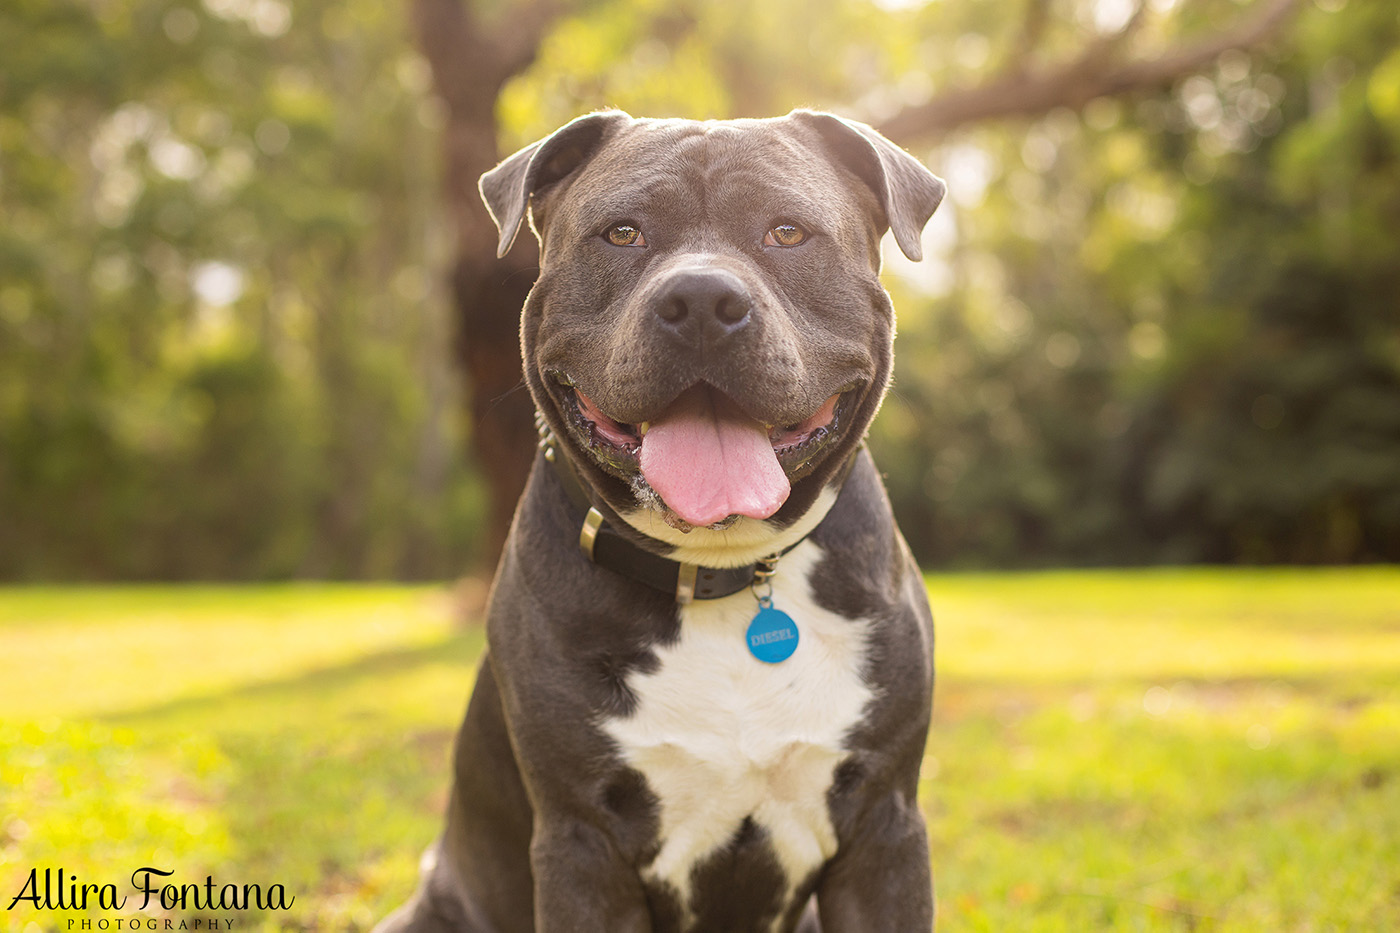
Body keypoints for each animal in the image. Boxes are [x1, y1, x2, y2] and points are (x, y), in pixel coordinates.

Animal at [378, 110, 946, 930]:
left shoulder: (886, 826)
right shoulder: (581, 843)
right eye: (622, 233)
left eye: (786, 232)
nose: (703, 299)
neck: (723, 570)